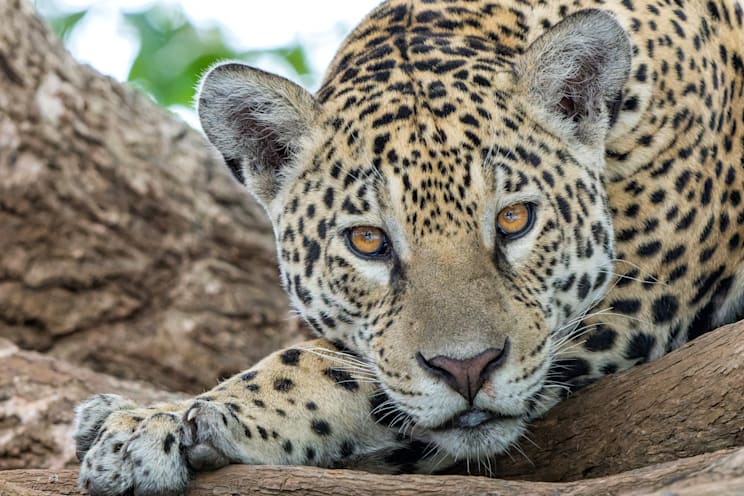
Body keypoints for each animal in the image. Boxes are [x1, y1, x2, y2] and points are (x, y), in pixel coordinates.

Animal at [74, 0, 744, 494]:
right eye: (368, 241)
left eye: (515, 219)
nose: (468, 370)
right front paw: (124, 413)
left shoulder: (636, 297)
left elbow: (328, 366)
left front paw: (154, 426)